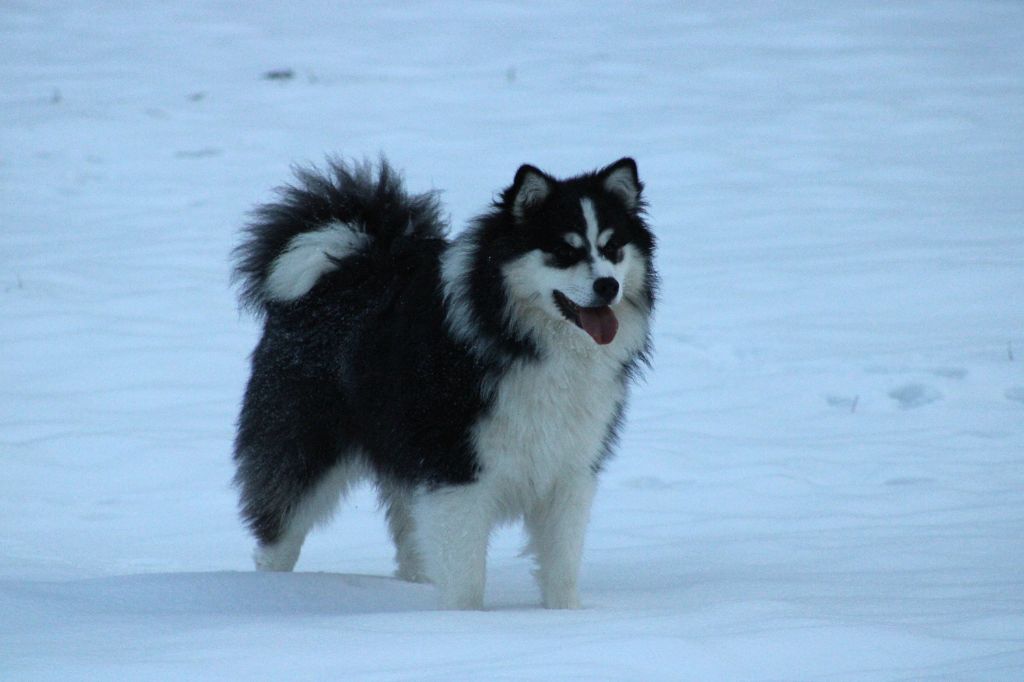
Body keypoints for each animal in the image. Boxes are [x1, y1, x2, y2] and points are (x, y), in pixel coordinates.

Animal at [232, 155, 655, 606]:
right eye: (563, 251)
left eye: (613, 248)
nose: (608, 285)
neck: (524, 340)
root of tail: (348, 261)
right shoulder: (457, 470)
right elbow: (466, 575)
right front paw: (460, 621)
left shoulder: (570, 469)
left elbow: (562, 567)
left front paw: (568, 616)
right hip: (304, 443)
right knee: (279, 533)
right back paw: (271, 590)